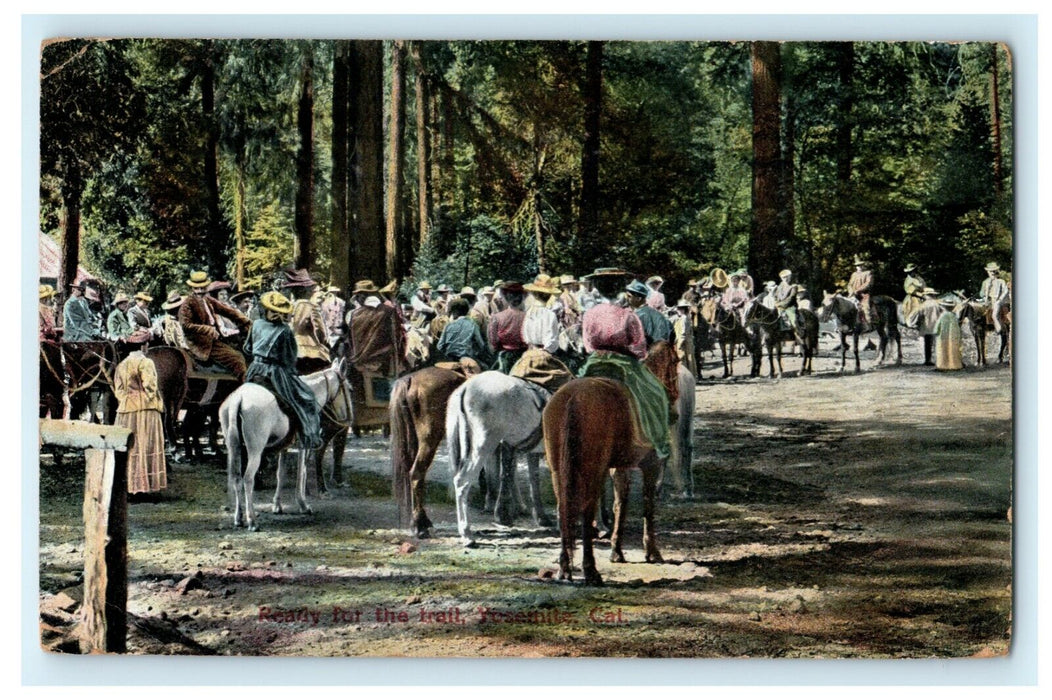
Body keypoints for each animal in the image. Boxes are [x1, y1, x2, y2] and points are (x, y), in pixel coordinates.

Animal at [220, 360, 353, 530]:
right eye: (348, 388)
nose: (348, 419)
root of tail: (239, 399)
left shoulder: (285, 446)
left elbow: (280, 474)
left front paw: (277, 505)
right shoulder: (304, 445)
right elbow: (302, 473)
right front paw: (303, 505)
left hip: (234, 449)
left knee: (236, 479)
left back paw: (239, 518)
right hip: (255, 452)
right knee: (248, 479)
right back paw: (252, 521)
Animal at [446, 370, 555, 547]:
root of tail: (465, 388)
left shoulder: (531, 453)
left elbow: (533, 482)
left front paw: (541, 518)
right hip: (485, 444)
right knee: (463, 480)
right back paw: (467, 534)